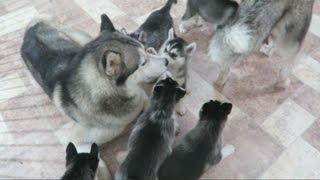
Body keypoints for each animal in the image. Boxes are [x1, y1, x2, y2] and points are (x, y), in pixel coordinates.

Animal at [20, 13, 168, 145]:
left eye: (144, 51)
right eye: (143, 63)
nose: (166, 61)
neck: (111, 94)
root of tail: (31, 27)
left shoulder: (140, 96)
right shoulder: (76, 141)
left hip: (84, 42)